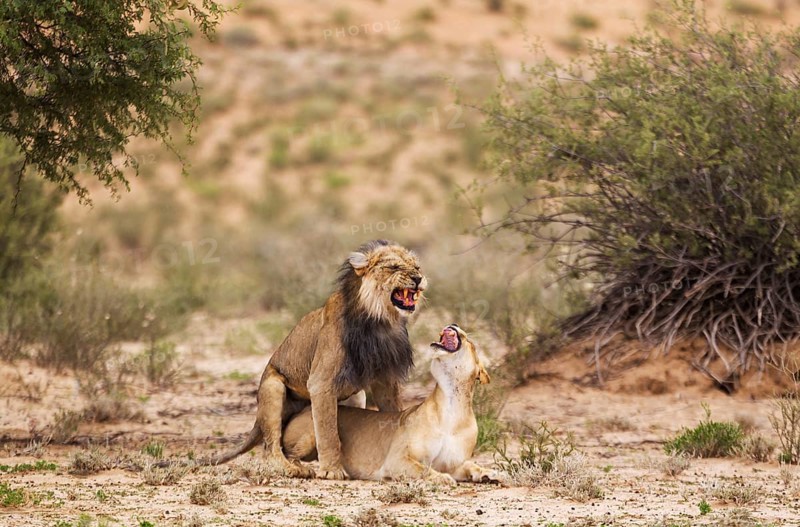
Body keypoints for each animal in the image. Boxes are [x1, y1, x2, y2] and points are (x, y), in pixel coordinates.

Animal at [204, 240, 426, 479]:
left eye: (417, 266)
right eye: (394, 267)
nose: (418, 278)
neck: (380, 319)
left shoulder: (385, 379)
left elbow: (393, 411)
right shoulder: (321, 382)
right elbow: (328, 432)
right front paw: (332, 471)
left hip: (356, 396)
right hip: (273, 388)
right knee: (270, 448)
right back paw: (293, 469)